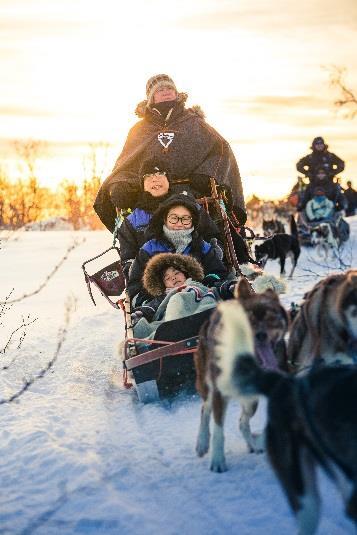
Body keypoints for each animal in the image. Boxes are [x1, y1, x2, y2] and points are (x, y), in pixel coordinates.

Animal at [193, 278, 288, 472]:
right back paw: (202, 442)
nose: (261, 335)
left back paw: (253, 443)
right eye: (248, 320)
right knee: (205, 410)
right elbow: (218, 431)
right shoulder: (220, 393)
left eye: (271, 318)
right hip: (208, 386)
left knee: (242, 421)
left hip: (251, 400)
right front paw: (218, 460)